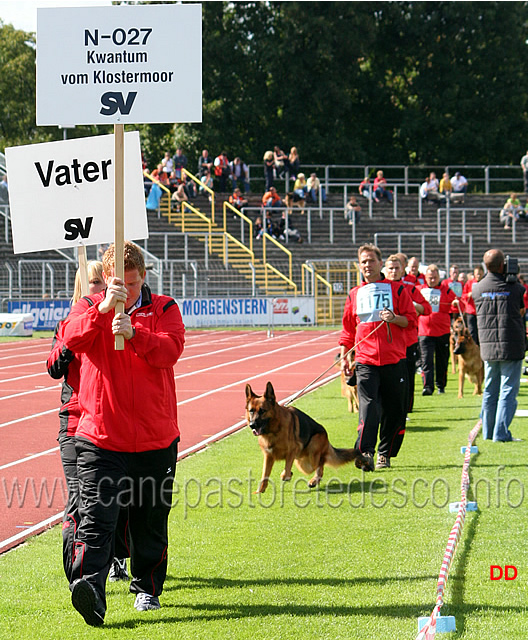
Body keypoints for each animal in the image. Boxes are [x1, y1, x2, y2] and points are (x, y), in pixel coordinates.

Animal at [244, 380, 372, 496]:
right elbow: (264, 475)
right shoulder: (268, 456)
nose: (252, 425)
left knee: (321, 464)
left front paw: (286, 475)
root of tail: (326, 438)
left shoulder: (293, 450)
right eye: (251, 411)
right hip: (301, 462)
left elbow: (286, 469)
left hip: (312, 452)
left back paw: (314, 480)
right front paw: (260, 491)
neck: (273, 430)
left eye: (262, 411)